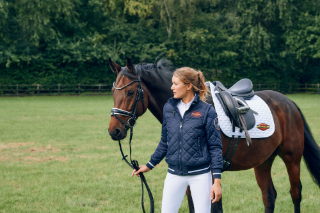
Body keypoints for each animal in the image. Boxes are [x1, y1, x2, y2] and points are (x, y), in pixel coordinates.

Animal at [107, 57, 320, 213]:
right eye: (112, 91)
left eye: (130, 92)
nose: (113, 131)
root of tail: (288, 103)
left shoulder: (210, 174)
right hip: (263, 162)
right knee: (269, 196)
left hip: (292, 158)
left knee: (295, 193)